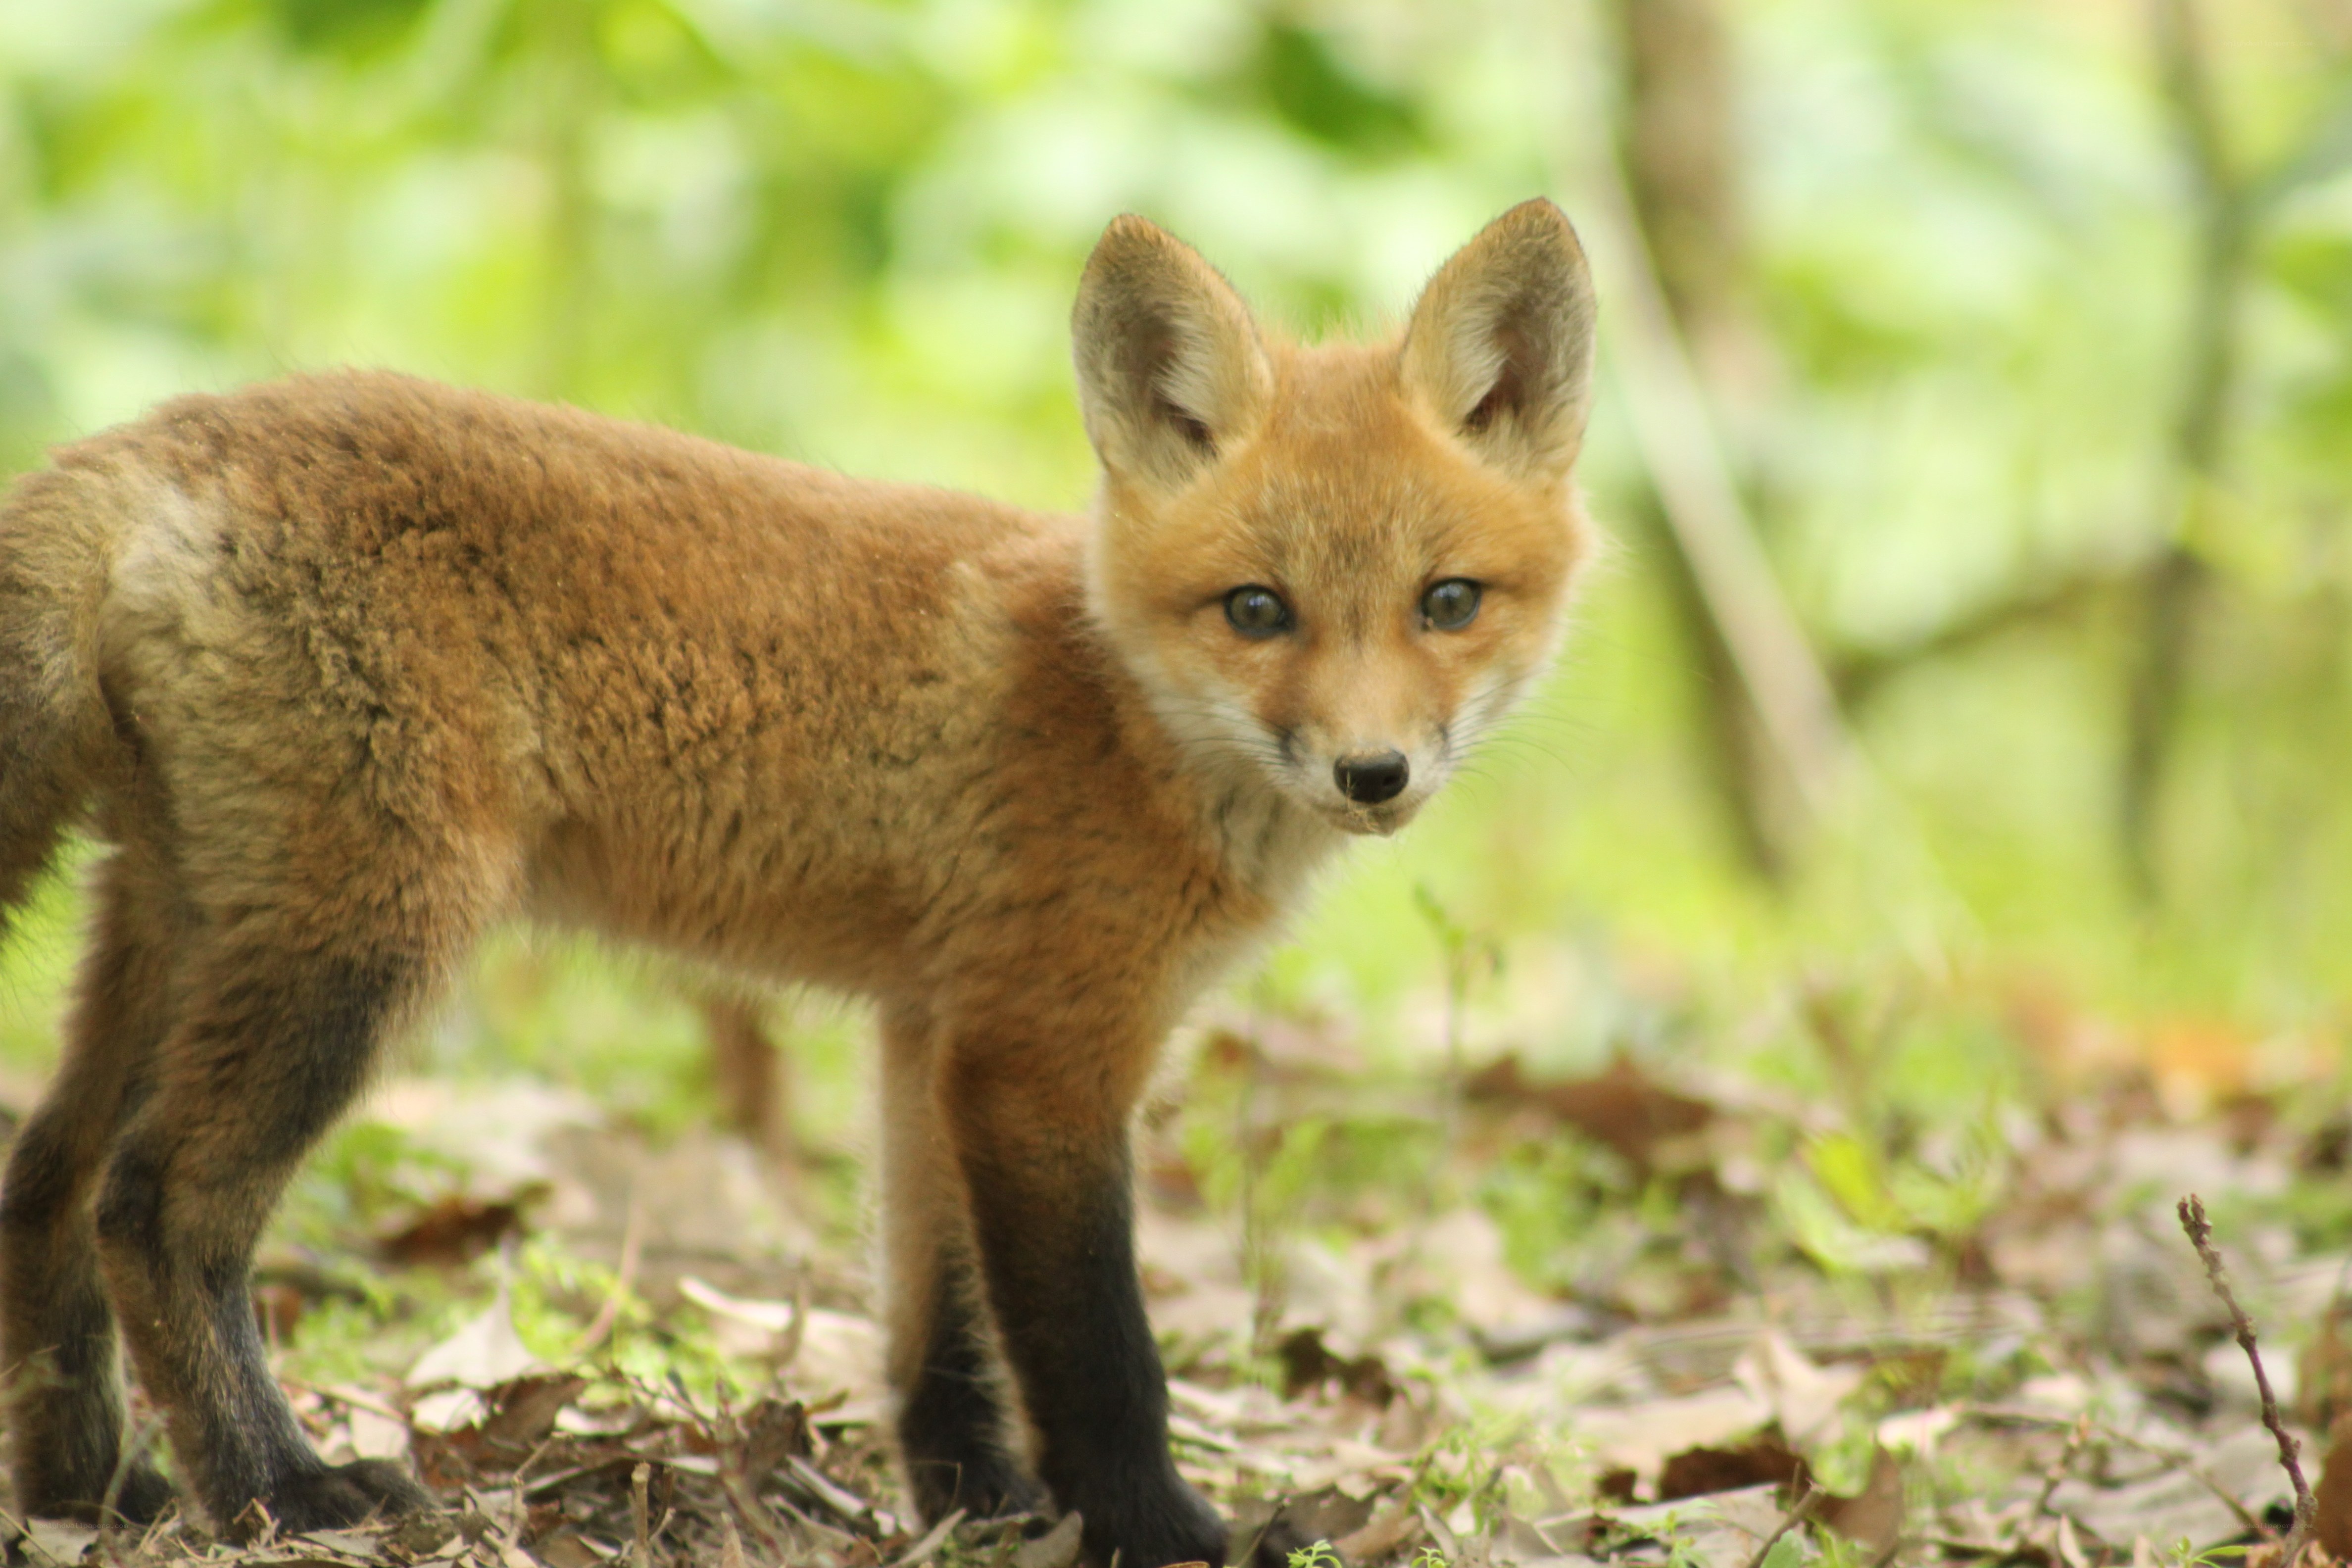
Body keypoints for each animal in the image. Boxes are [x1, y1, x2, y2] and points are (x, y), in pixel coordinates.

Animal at [0, 199, 1596, 1568]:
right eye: (1258, 610)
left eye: (1446, 603)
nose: (1373, 773)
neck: (1121, 711)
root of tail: (152, 434)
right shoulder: (1041, 1056)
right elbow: (1097, 1355)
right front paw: (1157, 1531)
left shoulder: (933, 1032)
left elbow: (939, 1334)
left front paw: (979, 1509)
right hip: (361, 944)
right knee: (155, 1204)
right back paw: (279, 1489)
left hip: (186, 922)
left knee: (44, 1177)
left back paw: (95, 1492)